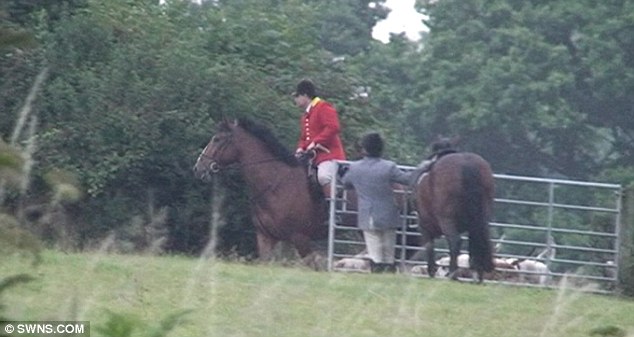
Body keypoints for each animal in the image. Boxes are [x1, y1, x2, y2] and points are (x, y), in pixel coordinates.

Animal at [412, 146, 496, 280]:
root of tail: (466, 164)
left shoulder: (424, 225)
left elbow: (429, 245)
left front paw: (431, 271)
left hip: (447, 219)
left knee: (455, 241)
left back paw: (452, 273)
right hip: (481, 218)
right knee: (476, 241)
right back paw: (477, 274)